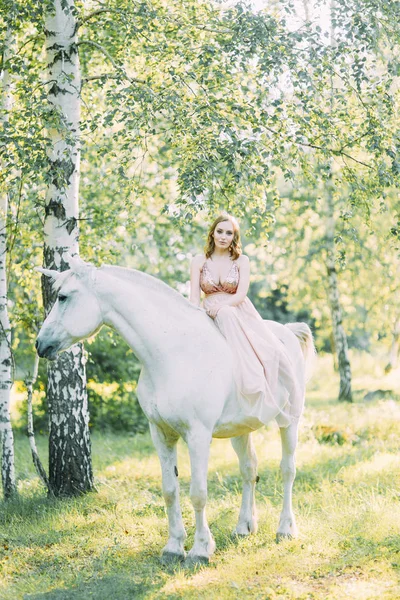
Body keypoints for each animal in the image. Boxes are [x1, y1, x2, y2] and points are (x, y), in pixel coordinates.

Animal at [36, 255, 314, 564]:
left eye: (63, 297)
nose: (40, 344)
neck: (174, 353)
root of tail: (287, 333)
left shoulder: (198, 436)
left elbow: (198, 493)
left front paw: (200, 550)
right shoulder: (160, 433)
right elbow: (170, 490)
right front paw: (173, 547)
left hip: (290, 421)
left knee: (287, 470)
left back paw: (285, 529)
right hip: (241, 429)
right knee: (248, 469)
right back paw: (244, 526)